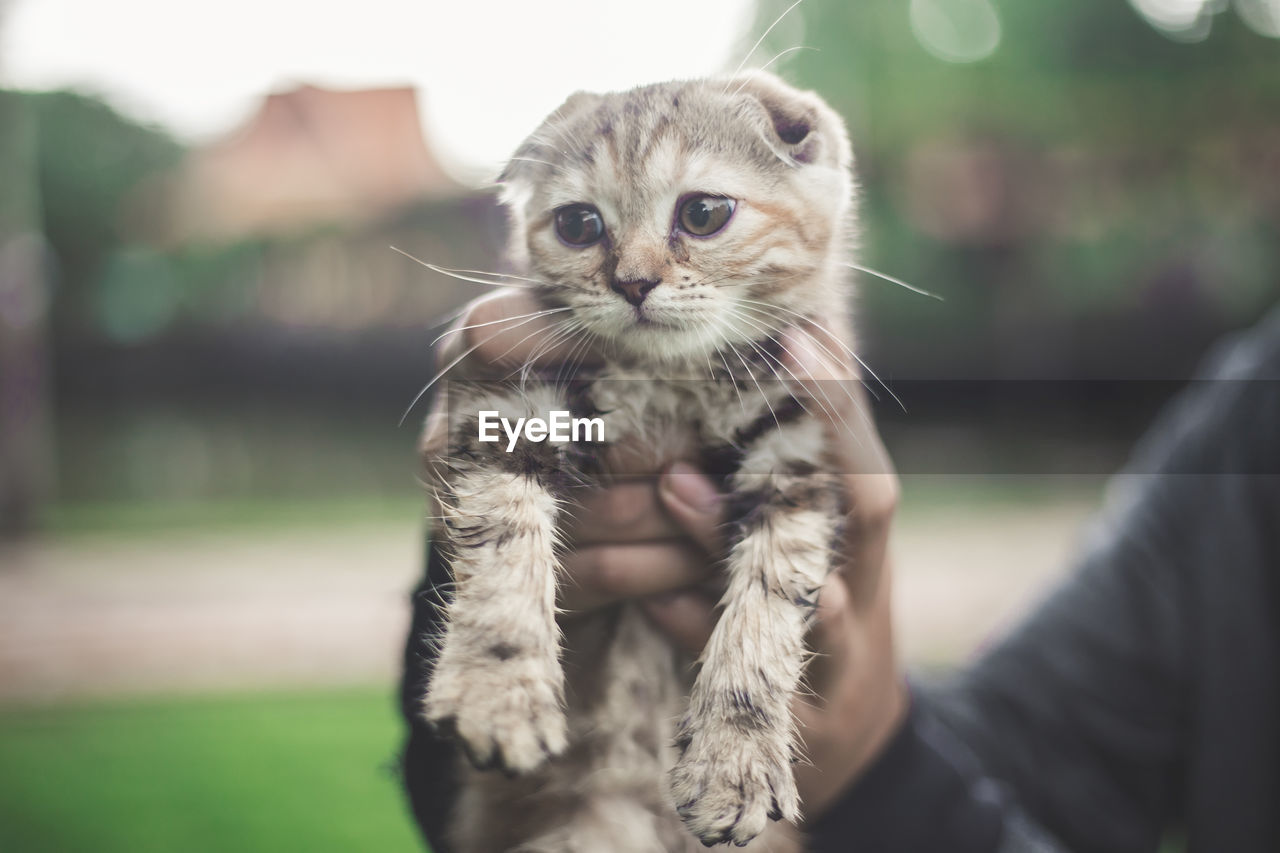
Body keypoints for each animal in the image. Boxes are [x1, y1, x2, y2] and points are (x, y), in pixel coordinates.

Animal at [419, 69, 855, 845]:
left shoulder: (795, 456)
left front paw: (734, 759)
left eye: (704, 213)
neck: (667, 381)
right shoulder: (505, 401)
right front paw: (497, 687)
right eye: (578, 225)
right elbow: (502, 536)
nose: (632, 281)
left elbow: (770, 599)